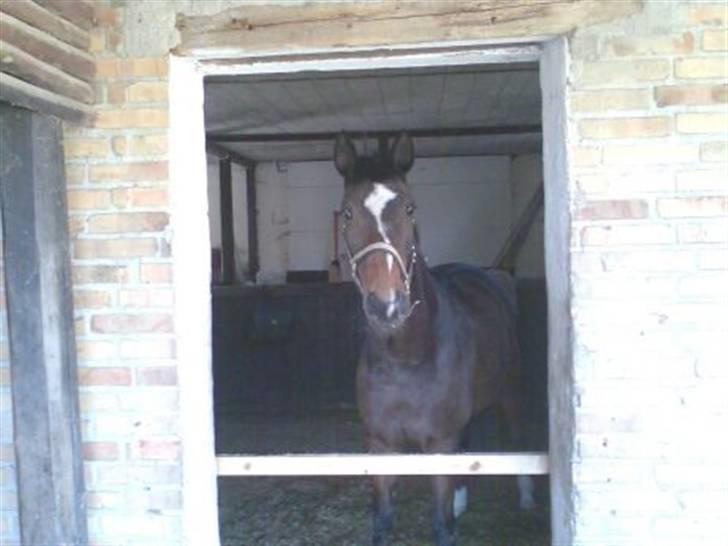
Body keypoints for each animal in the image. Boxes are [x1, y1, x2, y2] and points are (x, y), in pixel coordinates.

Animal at [336, 133, 536, 544]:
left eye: (410, 208)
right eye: (347, 213)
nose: (387, 306)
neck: (406, 356)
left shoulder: (440, 444)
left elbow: (441, 528)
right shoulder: (380, 446)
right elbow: (382, 521)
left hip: (512, 392)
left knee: (516, 437)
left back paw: (526, 501)